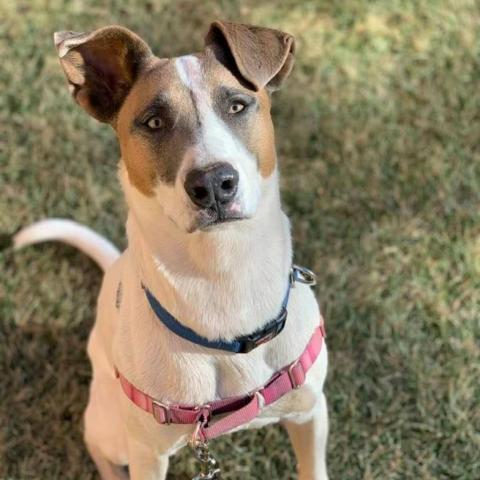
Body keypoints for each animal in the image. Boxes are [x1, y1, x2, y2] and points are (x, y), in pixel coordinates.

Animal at [15, 20, 330, 478]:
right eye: (154, 121)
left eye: (237, 105)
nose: (214, 183)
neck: (223, 274)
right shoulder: (149, 454)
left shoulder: (310, 410)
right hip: (115, 428)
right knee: (96, 442)